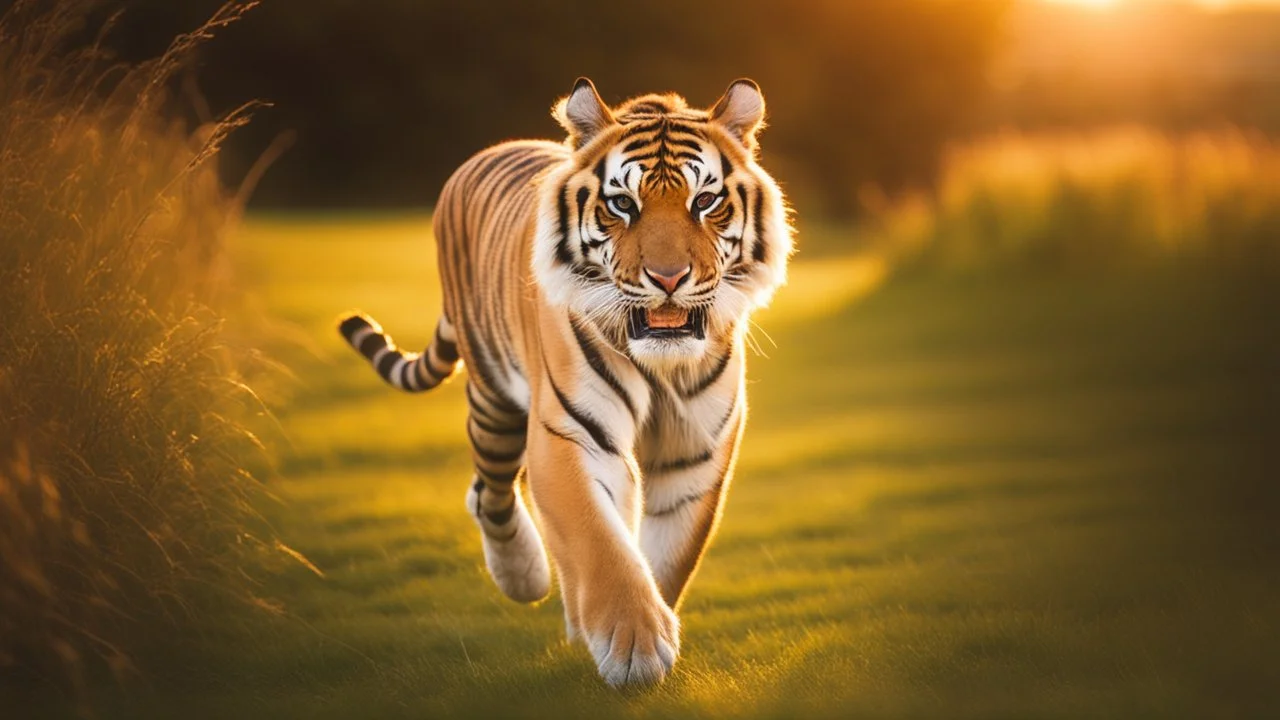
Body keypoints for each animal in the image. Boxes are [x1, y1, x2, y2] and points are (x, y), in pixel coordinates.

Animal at [337, 77, 788, 681]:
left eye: (705, 201)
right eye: (623, 204)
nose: (668, 278)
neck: (660, 365)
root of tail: (488, 151)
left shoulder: (695, 450)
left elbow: (666, 556)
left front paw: (650, 632)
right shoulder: (571, 433)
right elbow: (599, 539)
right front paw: (634, 646)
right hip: (494, 404)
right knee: (490, 493)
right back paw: (524, 576)